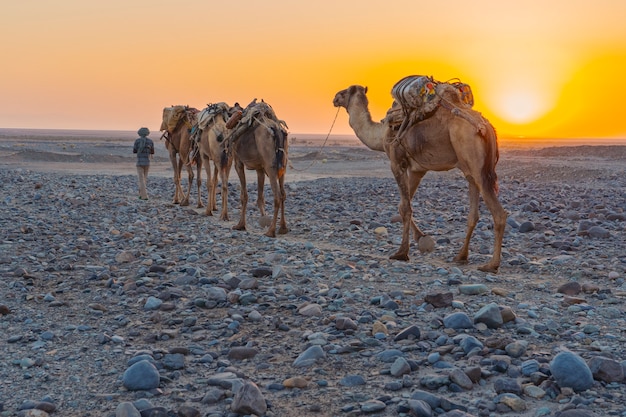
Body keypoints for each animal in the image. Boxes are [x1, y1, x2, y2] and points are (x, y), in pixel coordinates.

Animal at [223, 101, 288, 237]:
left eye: (230, 110)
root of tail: (276, 130)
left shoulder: (238, 162)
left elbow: (244, 195)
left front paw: (240, 225)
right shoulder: (260, 168)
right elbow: (260, 197)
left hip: (271, 166)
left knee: (277, 196)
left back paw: (271, 231)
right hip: (282, 166)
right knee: (283, 194)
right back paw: (283, 228)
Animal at [332, 84, 508, 272]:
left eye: (344, 92)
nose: (335, 98)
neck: (380, 134)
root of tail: (486, 127)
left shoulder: (396, 162)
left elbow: (405, 207)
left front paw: (401, 252)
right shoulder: (418, 170)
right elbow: (403, 204)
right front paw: (421, 238)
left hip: (475, 161)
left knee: (498, 212)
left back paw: (491, 264)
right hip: (469, 168)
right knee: (473, 213)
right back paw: (461, 256)